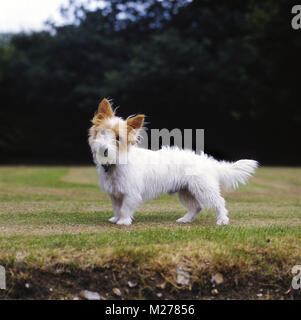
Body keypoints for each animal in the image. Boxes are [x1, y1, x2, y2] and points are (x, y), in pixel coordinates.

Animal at [88, 99, 256, 226]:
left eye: (118, 138)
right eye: (102, 132)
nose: (104, 150)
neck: (115, 163)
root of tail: (207, 161)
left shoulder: (131, 193)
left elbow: (125, 208)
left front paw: (123, 221)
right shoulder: (115, 194)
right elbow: (117, 208)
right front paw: (116, 219)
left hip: (203, 188)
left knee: (219, 202)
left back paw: (222, 220)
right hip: (185, 191)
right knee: (197, 207)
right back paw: (185, 219)